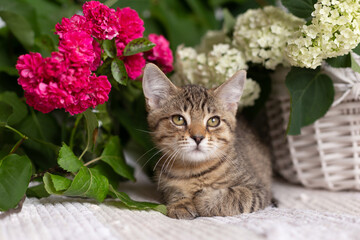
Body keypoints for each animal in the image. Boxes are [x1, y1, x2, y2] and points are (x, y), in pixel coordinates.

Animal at [142, 62, 272, 219]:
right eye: (178, 119)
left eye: (213, 121)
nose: (198, 137)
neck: (194, 170)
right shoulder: (163, 183)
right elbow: (172, 191)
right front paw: (180, 203)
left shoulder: (258, 190)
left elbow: (238, 196)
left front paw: (204, 199)